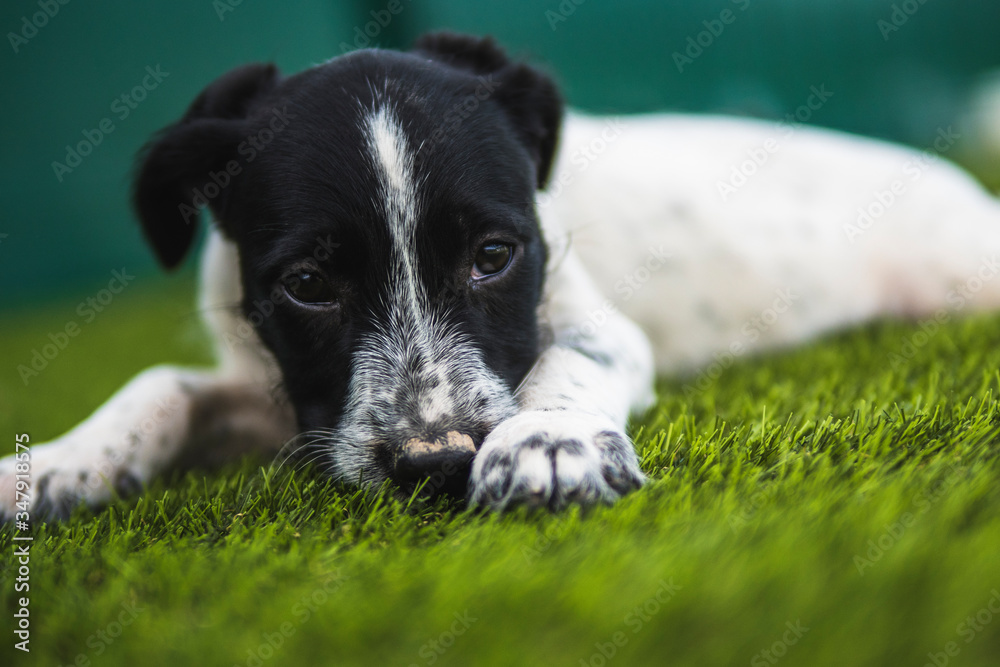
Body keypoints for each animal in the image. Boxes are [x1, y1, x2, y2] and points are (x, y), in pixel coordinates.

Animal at [1, 34, 1000, 520]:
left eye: (493, 256)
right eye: (308, 284)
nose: (435, 464)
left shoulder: (597, 327)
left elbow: (562, 364)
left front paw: (546, 442)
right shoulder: (290, 395)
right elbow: (160, 384)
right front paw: (53, 466)